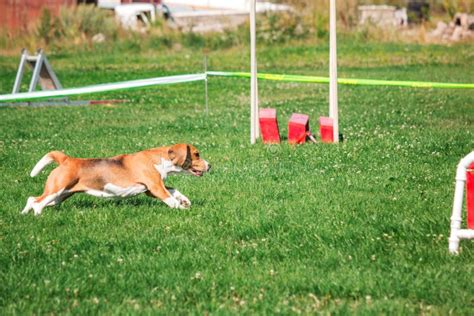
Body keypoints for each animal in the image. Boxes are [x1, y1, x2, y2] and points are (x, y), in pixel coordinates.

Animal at [20, 144, 209, 216]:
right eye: (197, 154)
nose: (210, 165)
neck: (159, 159)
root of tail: (67, 159)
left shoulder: (151, 189)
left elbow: (174, 190)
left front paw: (185, 200)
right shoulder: (156, 187)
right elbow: (171, 200)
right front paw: (182, 209)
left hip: (60, 195)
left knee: (31, 199)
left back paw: (23, 214)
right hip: (56, 190)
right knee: (38, 203)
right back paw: (38, 216)